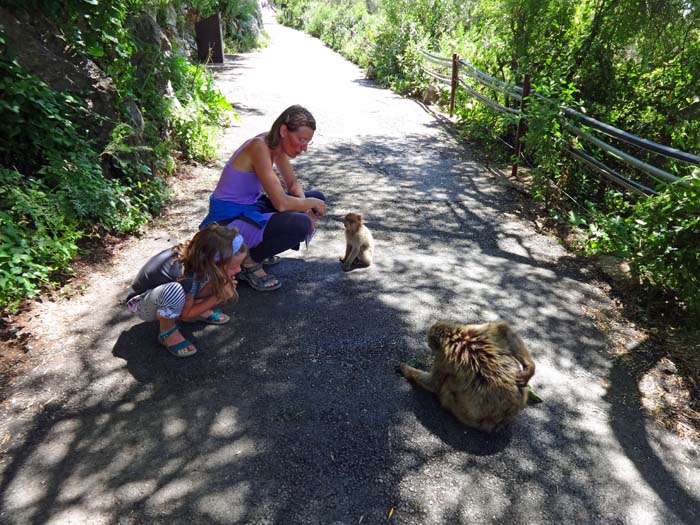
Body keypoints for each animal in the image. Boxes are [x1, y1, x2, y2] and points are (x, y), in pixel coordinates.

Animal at [400, 322, 536, 432]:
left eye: (430, 343)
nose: (429, 345)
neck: (455, 337)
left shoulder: (442, 358)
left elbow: (433, 383)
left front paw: (406, 370)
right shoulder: (476, 329)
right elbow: (503, 329)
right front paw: (530, 368)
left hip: (467, 415)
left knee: (448, 383)